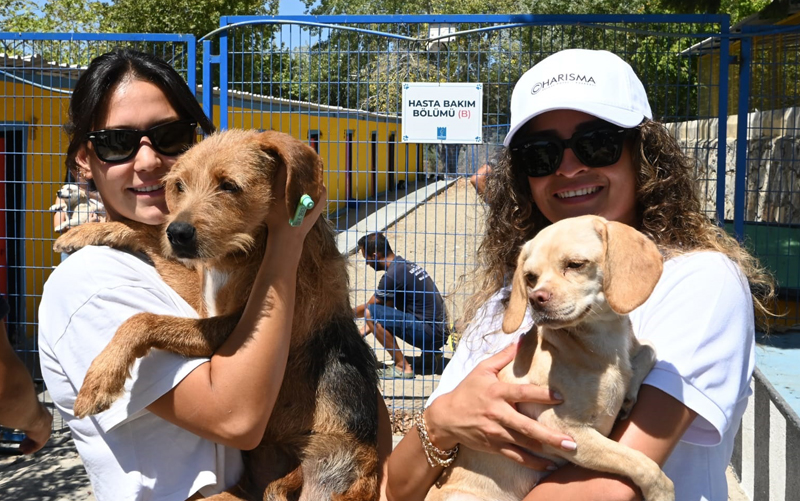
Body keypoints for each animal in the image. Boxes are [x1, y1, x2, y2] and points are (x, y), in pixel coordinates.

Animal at [56, 128, 382, 500]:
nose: (178, 233)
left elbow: (145, 319)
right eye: (179, 185)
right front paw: (90, 230)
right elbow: (148, 236)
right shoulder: (203, 298)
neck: (246, 251)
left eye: (229, 185)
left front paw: (99, 380)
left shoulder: (232, 326)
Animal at [428, 214, 672, 500]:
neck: (602, 345)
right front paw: (661, 493)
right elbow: (642, 463)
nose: (535, 299)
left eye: (575, 264)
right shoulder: (564, 431)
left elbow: (649, 349)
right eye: (530, 277)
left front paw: (629, 392)